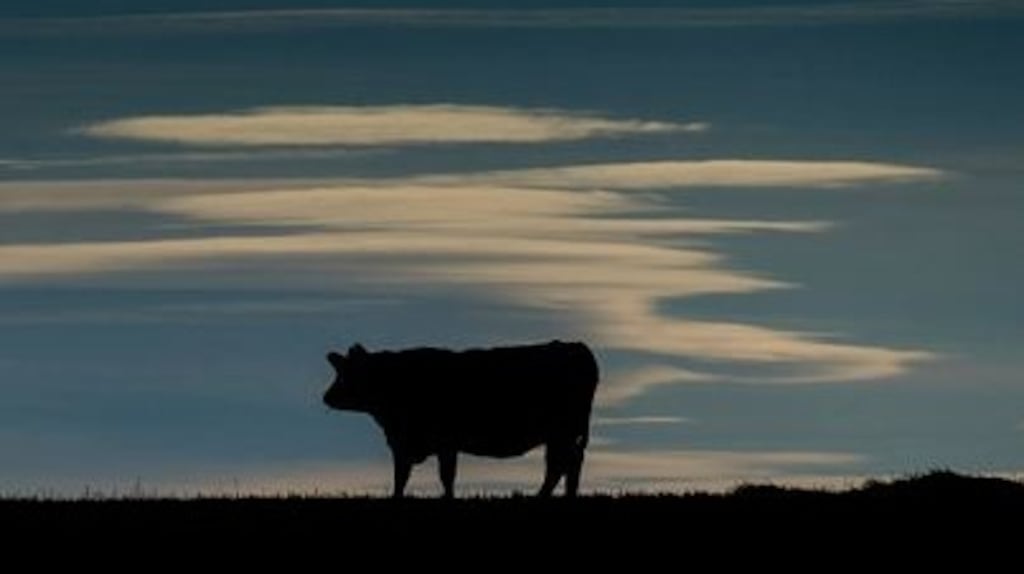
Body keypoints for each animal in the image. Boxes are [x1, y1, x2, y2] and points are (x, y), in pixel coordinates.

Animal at [323, 340, 599, 498]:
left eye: (344, 375)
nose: (326, 397)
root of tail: (576, 347)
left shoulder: (443, 441)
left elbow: (445, 476)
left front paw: (447, 500)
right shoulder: (404, 443)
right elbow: (401, 476)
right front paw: (397, 499)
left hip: (562, 431)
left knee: (560, 464)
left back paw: (542, 497)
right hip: (562, 434)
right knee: (567, 464)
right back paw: (564, 496)